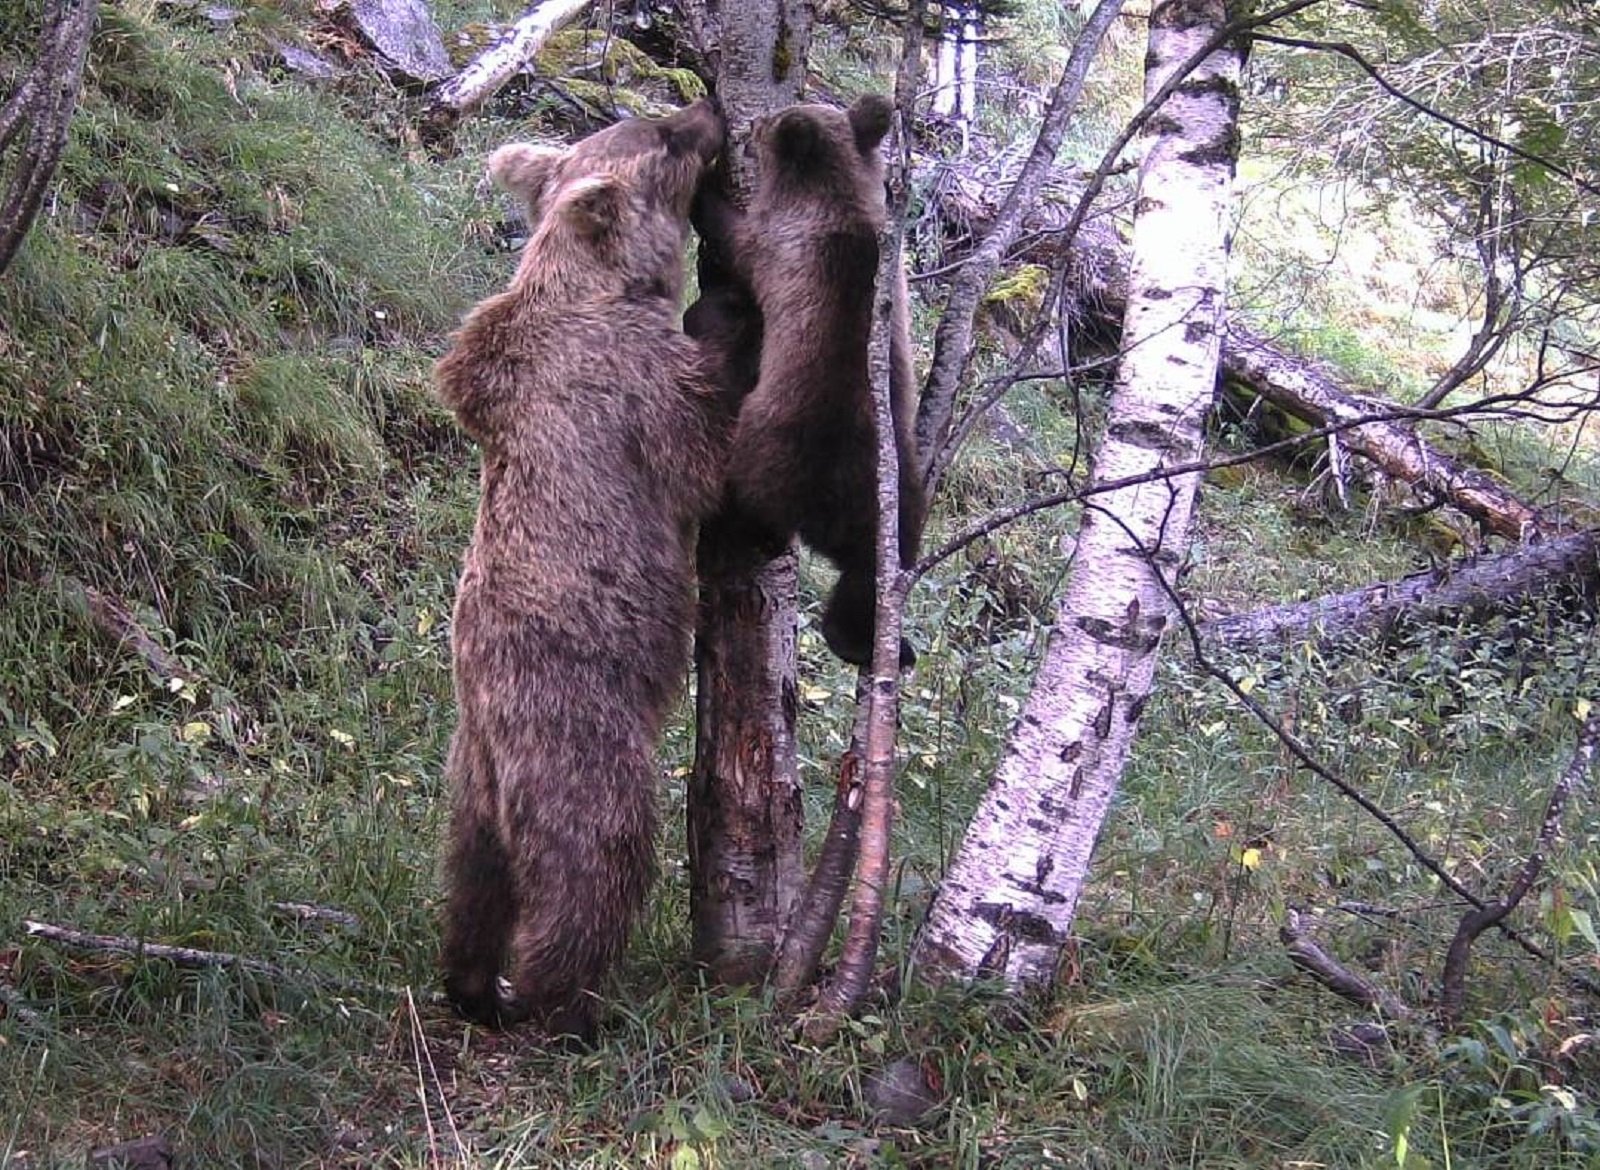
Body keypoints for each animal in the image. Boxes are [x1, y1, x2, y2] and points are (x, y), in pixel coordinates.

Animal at [438, 96, 732, 1037]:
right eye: (669, 138)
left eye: (659, 116)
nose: (710, 108)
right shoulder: (628, 384)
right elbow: (707, 449)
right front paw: (732, 320)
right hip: (578, 729)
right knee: (595, 860)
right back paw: (566, 1003)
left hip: (469, 783)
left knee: (473, 881)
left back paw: (472, 982)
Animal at [684, 94, 928, 669]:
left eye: (767, 124)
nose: (753, 124)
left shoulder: (776, 243)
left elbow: (734, 235)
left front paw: (701, 187)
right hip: (895, 494)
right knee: (879, 566)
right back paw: (873, 642)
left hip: (765, 450)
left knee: (747, 506)